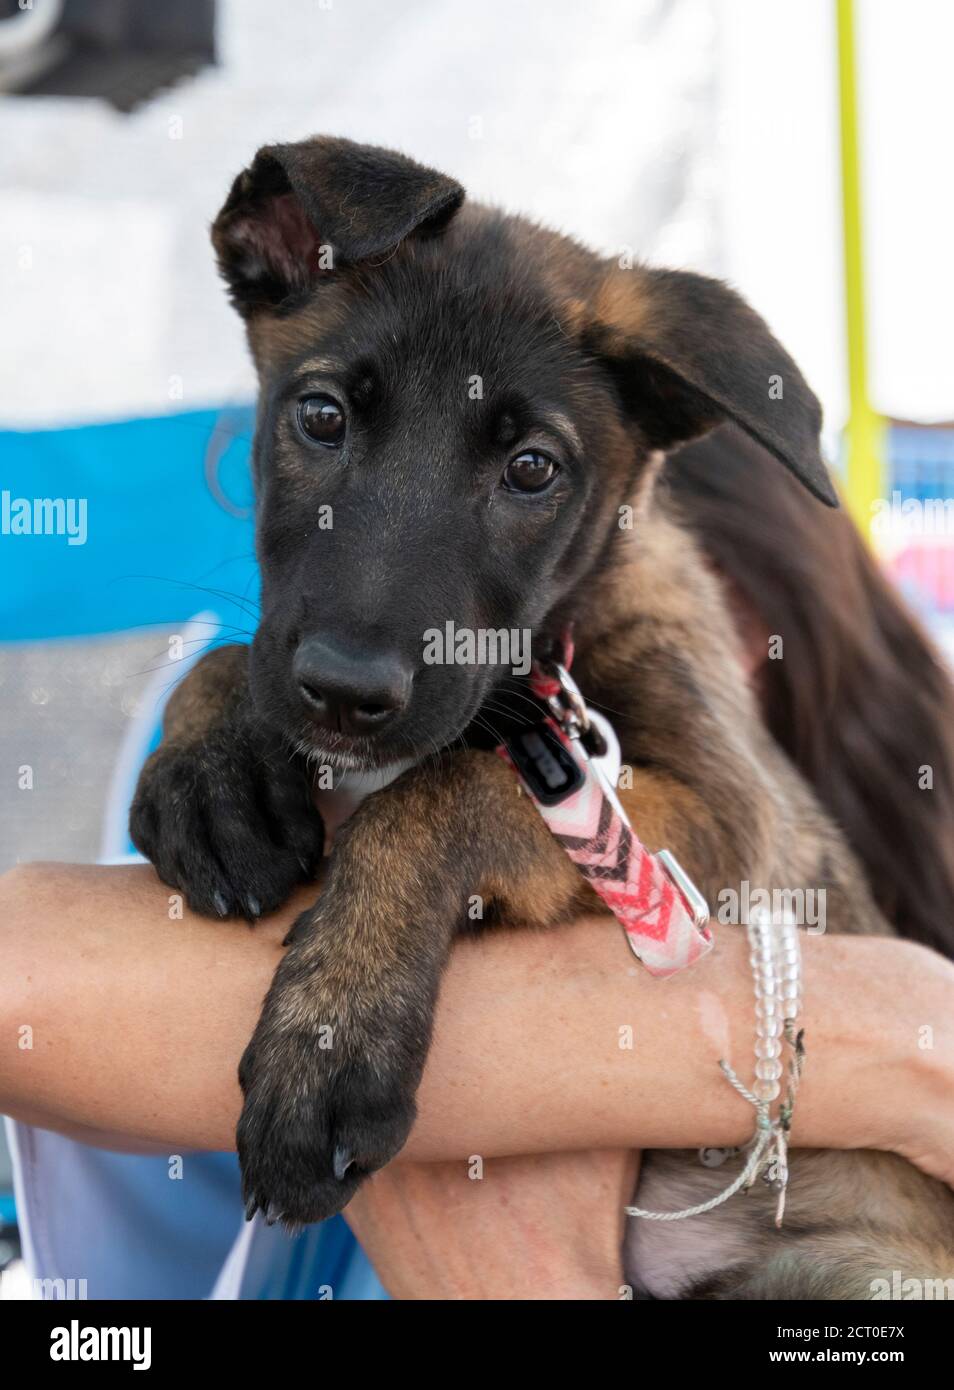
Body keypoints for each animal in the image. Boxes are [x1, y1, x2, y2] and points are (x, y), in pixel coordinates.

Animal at [132, 135, 954, 1295]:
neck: (530, 677)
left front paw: (330, 1040)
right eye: (321, 416)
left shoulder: (734, 820)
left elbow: (449, 790)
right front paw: (212, 770)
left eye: (532, 471)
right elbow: (237, 654)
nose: (344, 688)